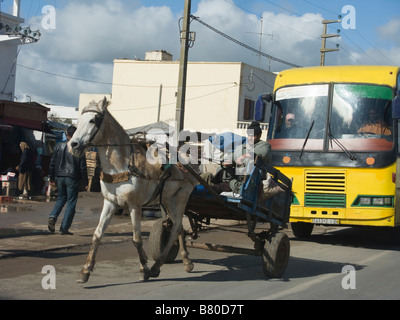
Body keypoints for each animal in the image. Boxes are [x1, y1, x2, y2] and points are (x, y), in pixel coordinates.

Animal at [70, 97, 200, 282]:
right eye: (78, 120)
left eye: (93, 120)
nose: (73, 144)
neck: (122, 164)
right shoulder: (110, 202)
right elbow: (97, 234)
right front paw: (85, 270)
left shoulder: (134, 205)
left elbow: (137, 239)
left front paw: (143, 269)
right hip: (168, 199)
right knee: (179, 227)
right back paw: (186, 261)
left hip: (181, 198)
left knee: (175, 228)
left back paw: (156, 266)